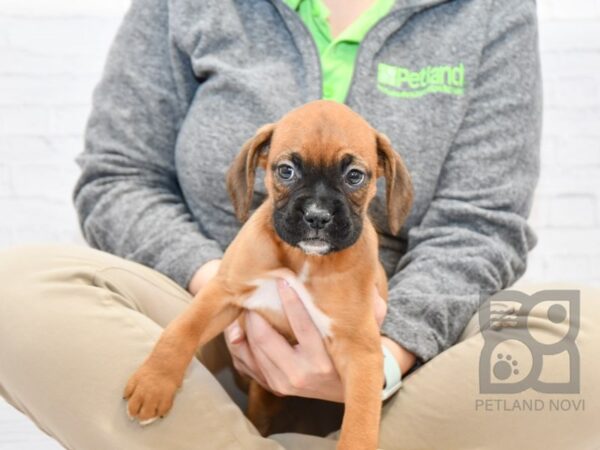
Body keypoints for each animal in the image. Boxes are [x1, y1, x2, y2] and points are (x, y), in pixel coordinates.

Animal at [122, 100, 412, 448]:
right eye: (286, 170)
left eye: (354, 176)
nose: (317, 216)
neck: (303, 260)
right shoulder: (223, 293)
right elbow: (182, 330)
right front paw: (154, 383)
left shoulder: (361, 351)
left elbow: (360, 423)